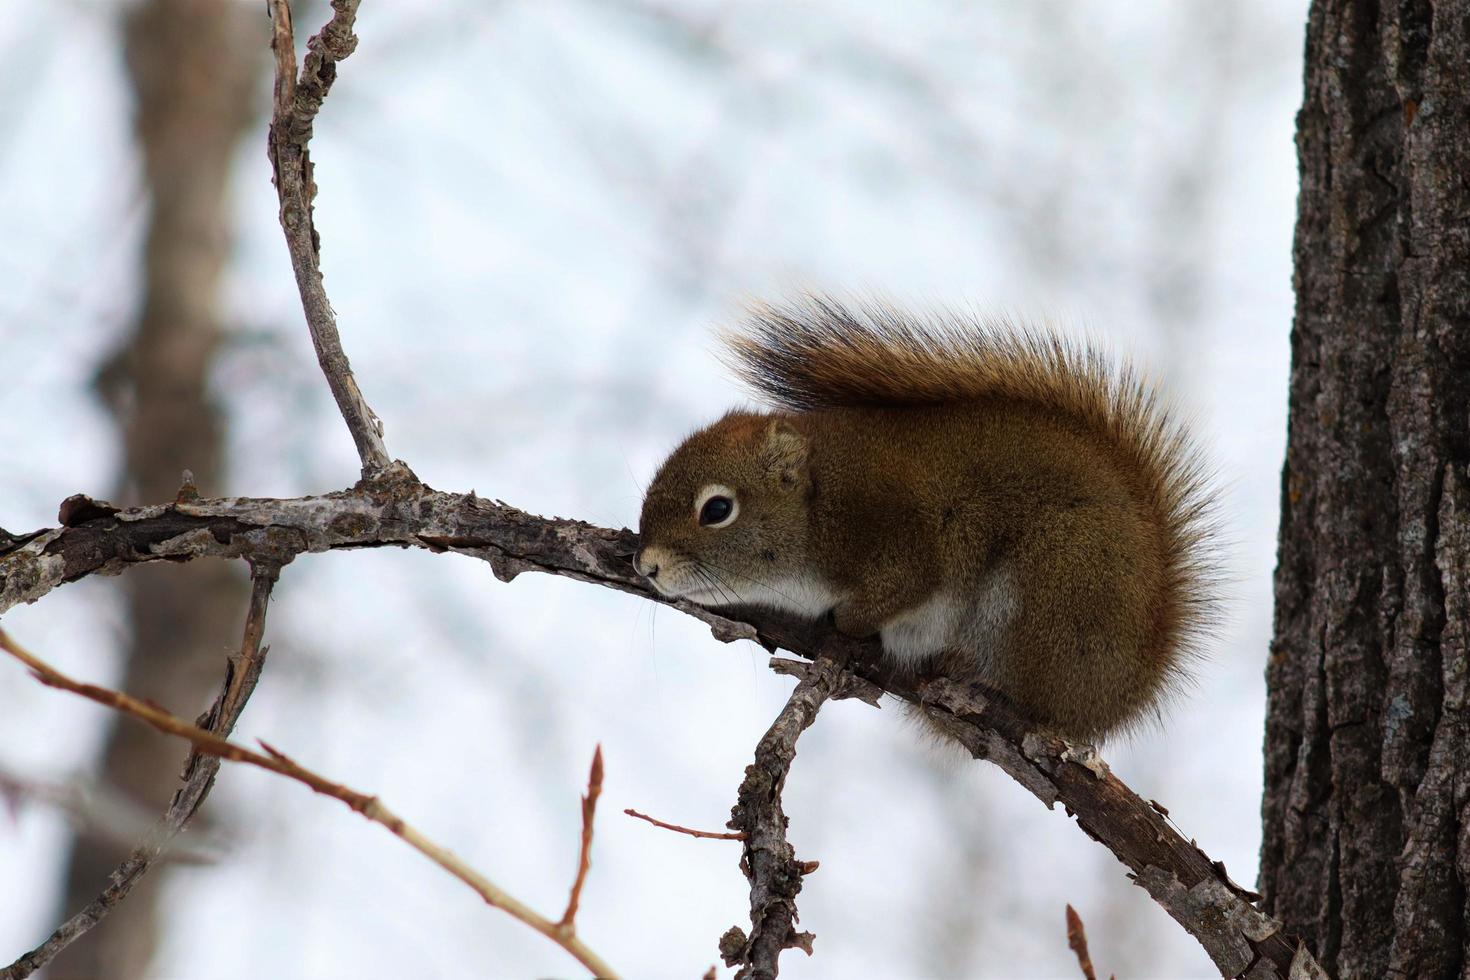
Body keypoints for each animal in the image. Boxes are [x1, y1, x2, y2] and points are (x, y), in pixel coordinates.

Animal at [632, 299, 1217, 743]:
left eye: (717, 510)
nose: (645, 565)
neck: (818, 507)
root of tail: (1124, 693)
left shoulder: (904, 542)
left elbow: (897, 591)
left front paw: (849, 621)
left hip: (1054, 584)